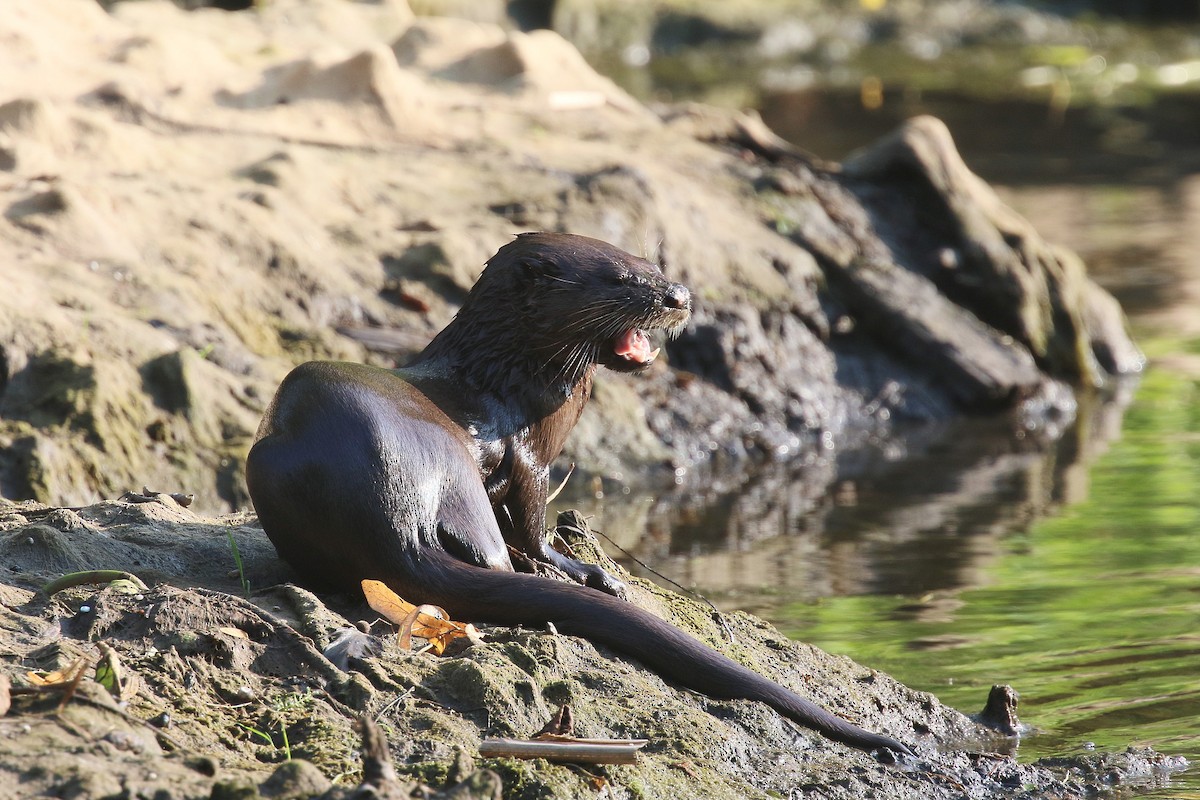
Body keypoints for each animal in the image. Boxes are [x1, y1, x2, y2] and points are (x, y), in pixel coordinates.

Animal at [246, 232, 912, 757]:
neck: (508, 381)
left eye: (652, 263)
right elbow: (530, 519)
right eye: (619, 279)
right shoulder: (532, 455)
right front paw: (581, 568)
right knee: (494, 553)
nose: (678, 296)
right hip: (449, 465)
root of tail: (390, 506)